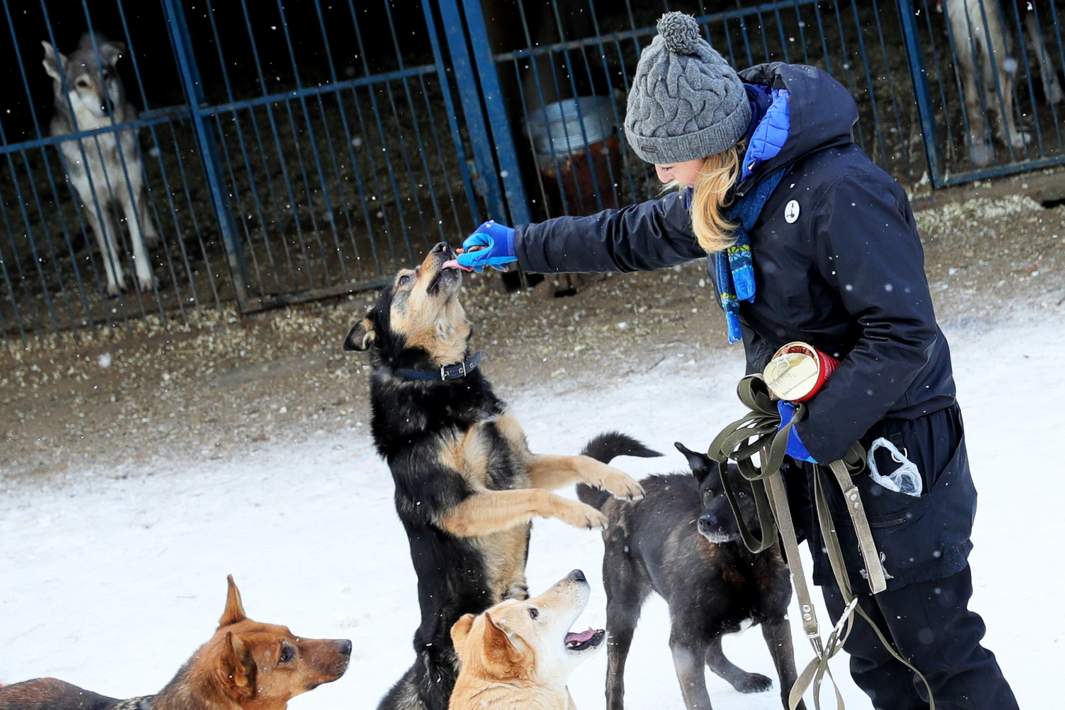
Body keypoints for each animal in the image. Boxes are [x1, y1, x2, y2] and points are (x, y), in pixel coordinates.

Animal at [43, 32, 158, 293]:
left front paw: (146, 278)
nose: (108, 105)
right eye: (82, 84)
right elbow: (106, 248)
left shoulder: (130, 188)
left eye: (106, 76)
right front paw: (115, 282)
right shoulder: (92, 200)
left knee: (144, 203)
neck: (100, 139)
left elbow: (137, 243)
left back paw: (151, 234)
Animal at [579, 438, 800, 710]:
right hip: (623, 612)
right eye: (708, 493)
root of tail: (615, 500)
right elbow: (699, 700)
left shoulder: (777, 621)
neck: (738, 564)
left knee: (713, 653)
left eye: (742, 495)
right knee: (614, 679)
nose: (706, 521)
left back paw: (743, 680)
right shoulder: (684, 643)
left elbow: (790, 684)